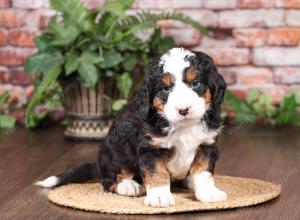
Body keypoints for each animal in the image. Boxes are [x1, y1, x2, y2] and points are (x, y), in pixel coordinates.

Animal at [35, 47, 227, 207]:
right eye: (165, 89)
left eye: (195, 83)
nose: (183, 110)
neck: (183, 126)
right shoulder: (151, 148)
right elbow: (158, 173)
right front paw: (160, 197)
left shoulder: (206, 145)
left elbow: (203, 172)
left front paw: (208, 192)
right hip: (112, 152)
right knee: (109, 180)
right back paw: (128, 186)